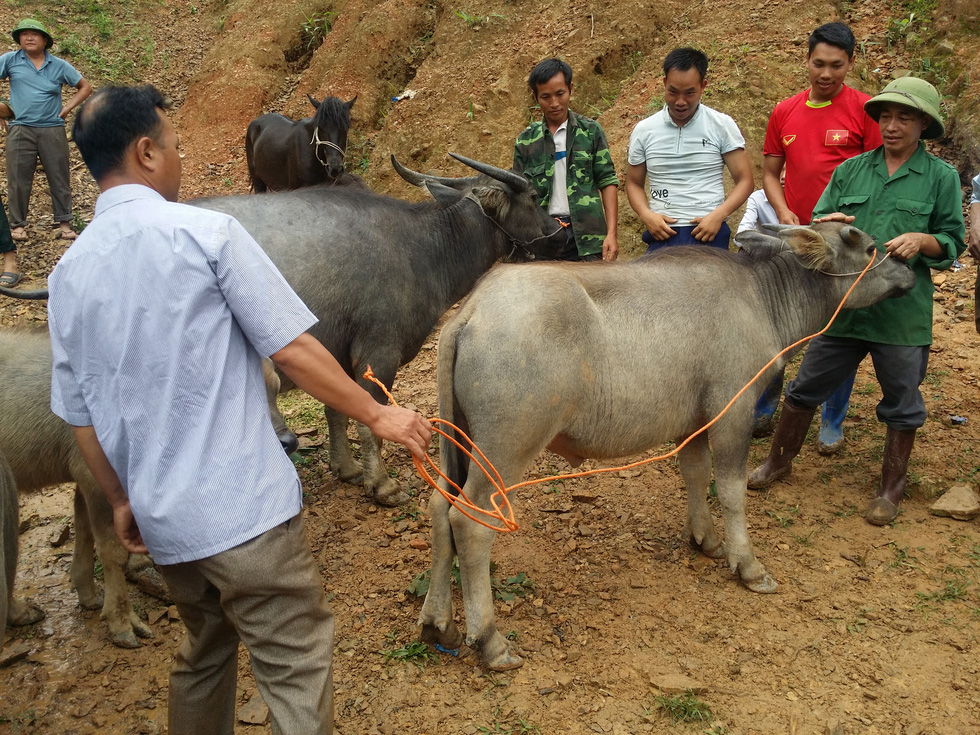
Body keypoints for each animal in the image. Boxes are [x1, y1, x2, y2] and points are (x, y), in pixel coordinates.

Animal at [0, 330, 294, 648]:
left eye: (276, 387)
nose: (288, 442)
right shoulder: (94, 480)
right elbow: (112, 552)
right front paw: (122, 622)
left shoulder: (86, 483)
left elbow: (84, 532)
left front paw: (88, 594)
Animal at [195, 154, 564, 506]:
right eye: (534, 196)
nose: (561, 234)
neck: (423, 248)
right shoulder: (379, 351)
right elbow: (370, 420)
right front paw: (383, 485)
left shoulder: (339, 356)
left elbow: (338, 410)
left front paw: (347, 468)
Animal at [422, 221, 920, 668]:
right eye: (871, 247)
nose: (908, 269)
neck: (760, 299)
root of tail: (471, 312)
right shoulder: (733, 413)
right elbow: (732, 491)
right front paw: (748, 565)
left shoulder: (692, 425)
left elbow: (696, 476)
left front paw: (706, 539)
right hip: (505, 449)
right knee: (469, 522)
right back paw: (490, 641)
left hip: (459, 444)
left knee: (439, 507)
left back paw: (438, 623)